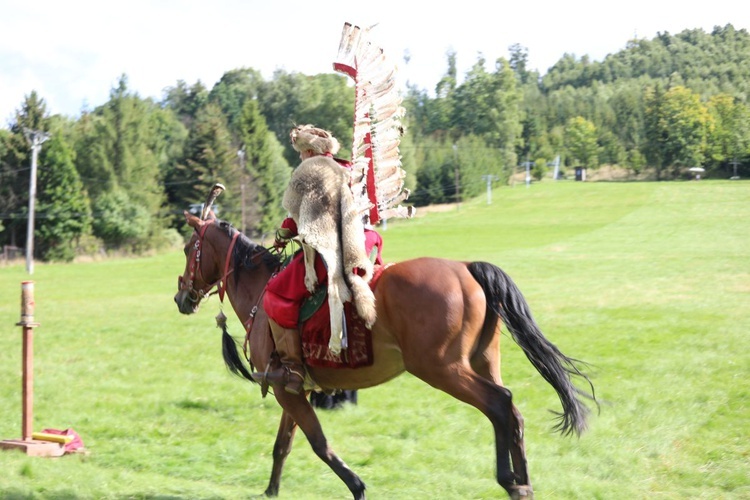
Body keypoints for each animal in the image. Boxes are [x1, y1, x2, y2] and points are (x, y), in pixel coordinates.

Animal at [173, 212, 596, 500]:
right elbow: (283, 445)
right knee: (513, 413)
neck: (261, 291)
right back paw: (523, 481)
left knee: (499, 404)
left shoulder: (286, 391)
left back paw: (509, 480)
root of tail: (466, 269)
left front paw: (356, 485)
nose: (181, 297)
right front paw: (271, 491)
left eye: (188, 250)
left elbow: (318, 443)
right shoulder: (295, 389)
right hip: (483, 361)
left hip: (443, 368)